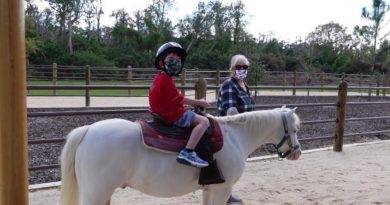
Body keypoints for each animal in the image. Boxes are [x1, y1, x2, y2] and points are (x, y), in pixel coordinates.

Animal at [60, 106, 302, 204]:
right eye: (295, 128)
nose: (297, 152)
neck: (235, 135)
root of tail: (88, 130)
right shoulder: (222, 190)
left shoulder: (209, 190)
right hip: (95, 194)